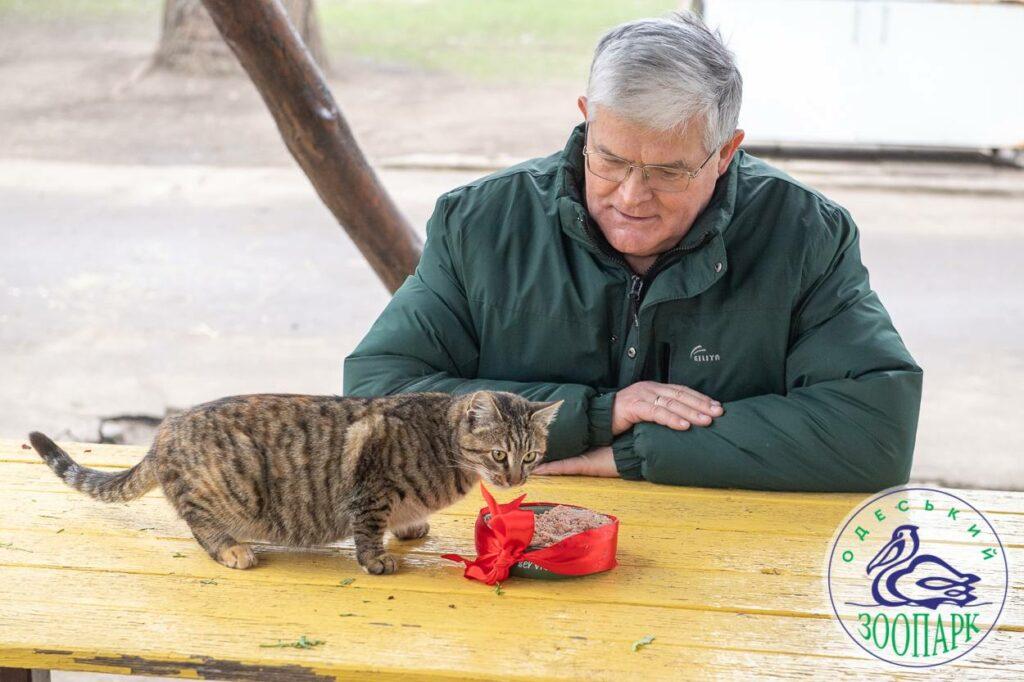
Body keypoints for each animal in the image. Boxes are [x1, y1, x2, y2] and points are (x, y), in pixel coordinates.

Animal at [29, 387, 561, 573]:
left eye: (531, 455)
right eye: (499, 454)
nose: (515, 477)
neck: (442, 441)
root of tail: (165, 430)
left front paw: (410, 526)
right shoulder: (371, 485)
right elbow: (369, 530)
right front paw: (377, 559)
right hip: (221, 489)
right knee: (200, 526)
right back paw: (232, 549)